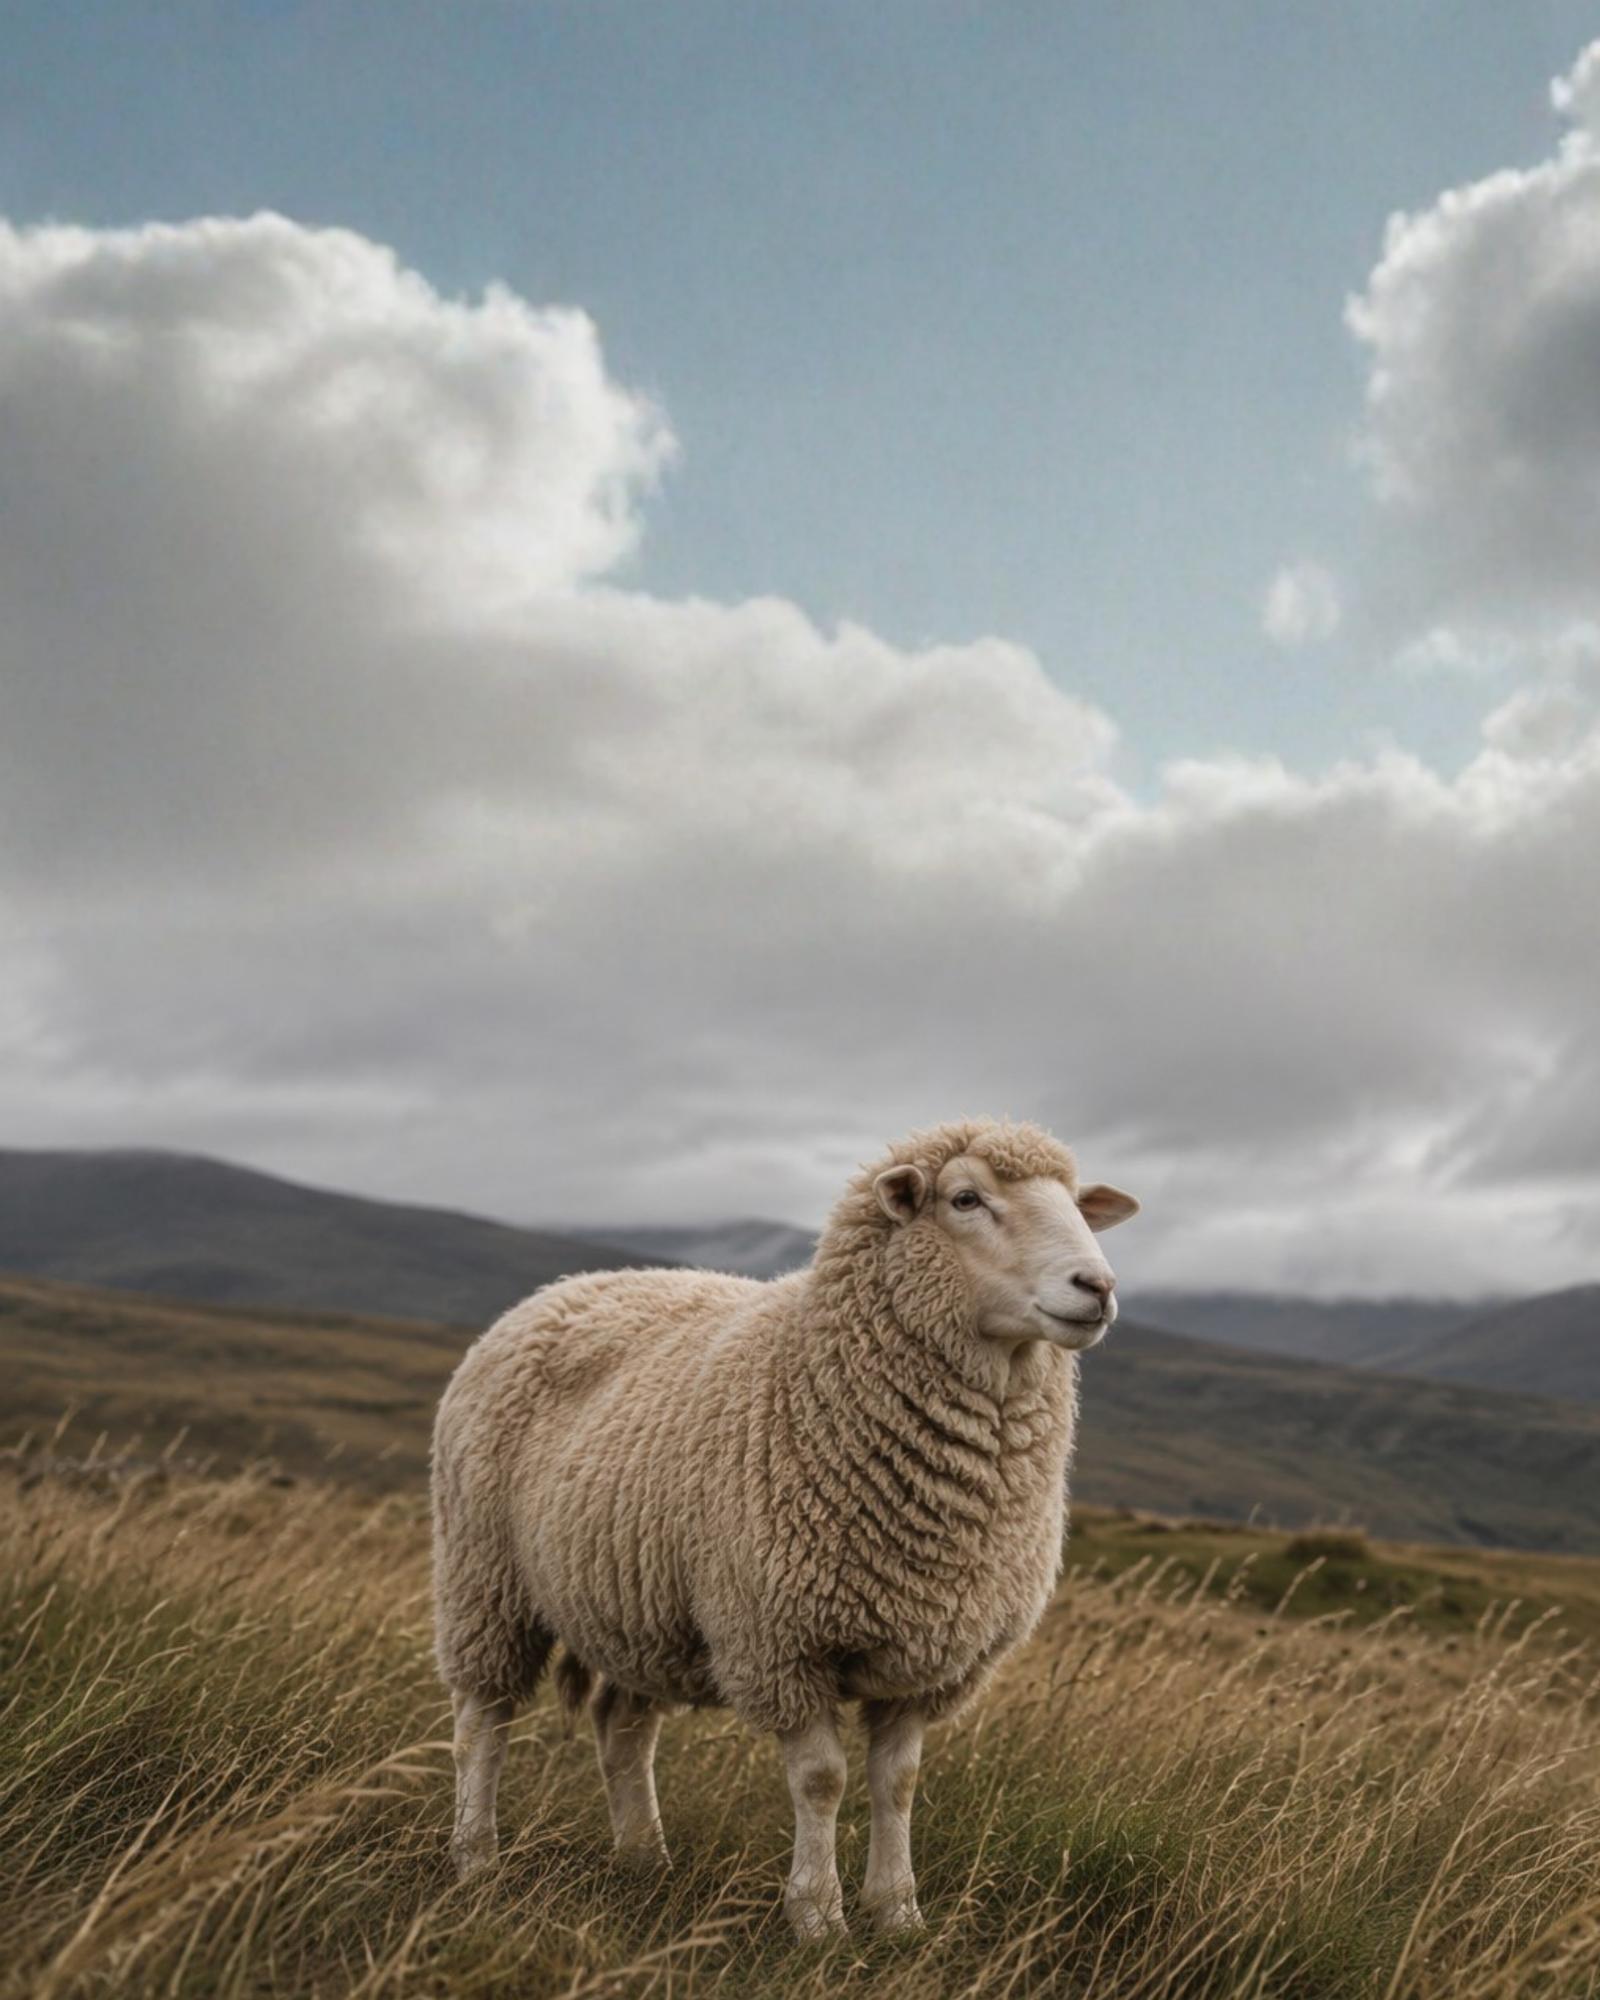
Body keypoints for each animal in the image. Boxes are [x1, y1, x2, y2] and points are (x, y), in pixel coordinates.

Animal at [431, 1117, 1138, 1936]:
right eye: (966, 1198)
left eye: (1078, 1205)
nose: (1098, 1288)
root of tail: (570, 1285)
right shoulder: (780, 1640)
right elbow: (823, 1780)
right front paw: (818, 1917)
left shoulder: (926, 1652)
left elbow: (898, 1782)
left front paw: (898, 1914)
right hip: (484, 1576)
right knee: (482, 1723)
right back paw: (476, 1861)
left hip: (639, 1605)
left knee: (622, 1727)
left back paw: (644, 1857)